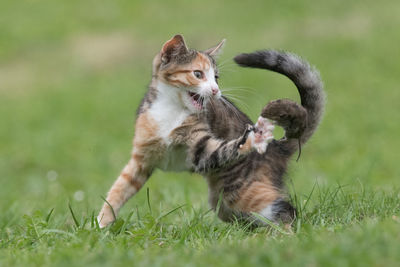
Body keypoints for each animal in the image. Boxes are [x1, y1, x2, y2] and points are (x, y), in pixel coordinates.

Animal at [97, 35, 324, 228]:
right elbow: (119, 188)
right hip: (224, 202)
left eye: (216, 77)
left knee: (284, 210)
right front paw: (101, 224)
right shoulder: (142, 157)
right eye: (198, 74)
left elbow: (218, 149)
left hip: (243, 190)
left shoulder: (200, 145)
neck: (172, 108)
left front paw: (252, 139)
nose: (216, 91)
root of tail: (276, 149)